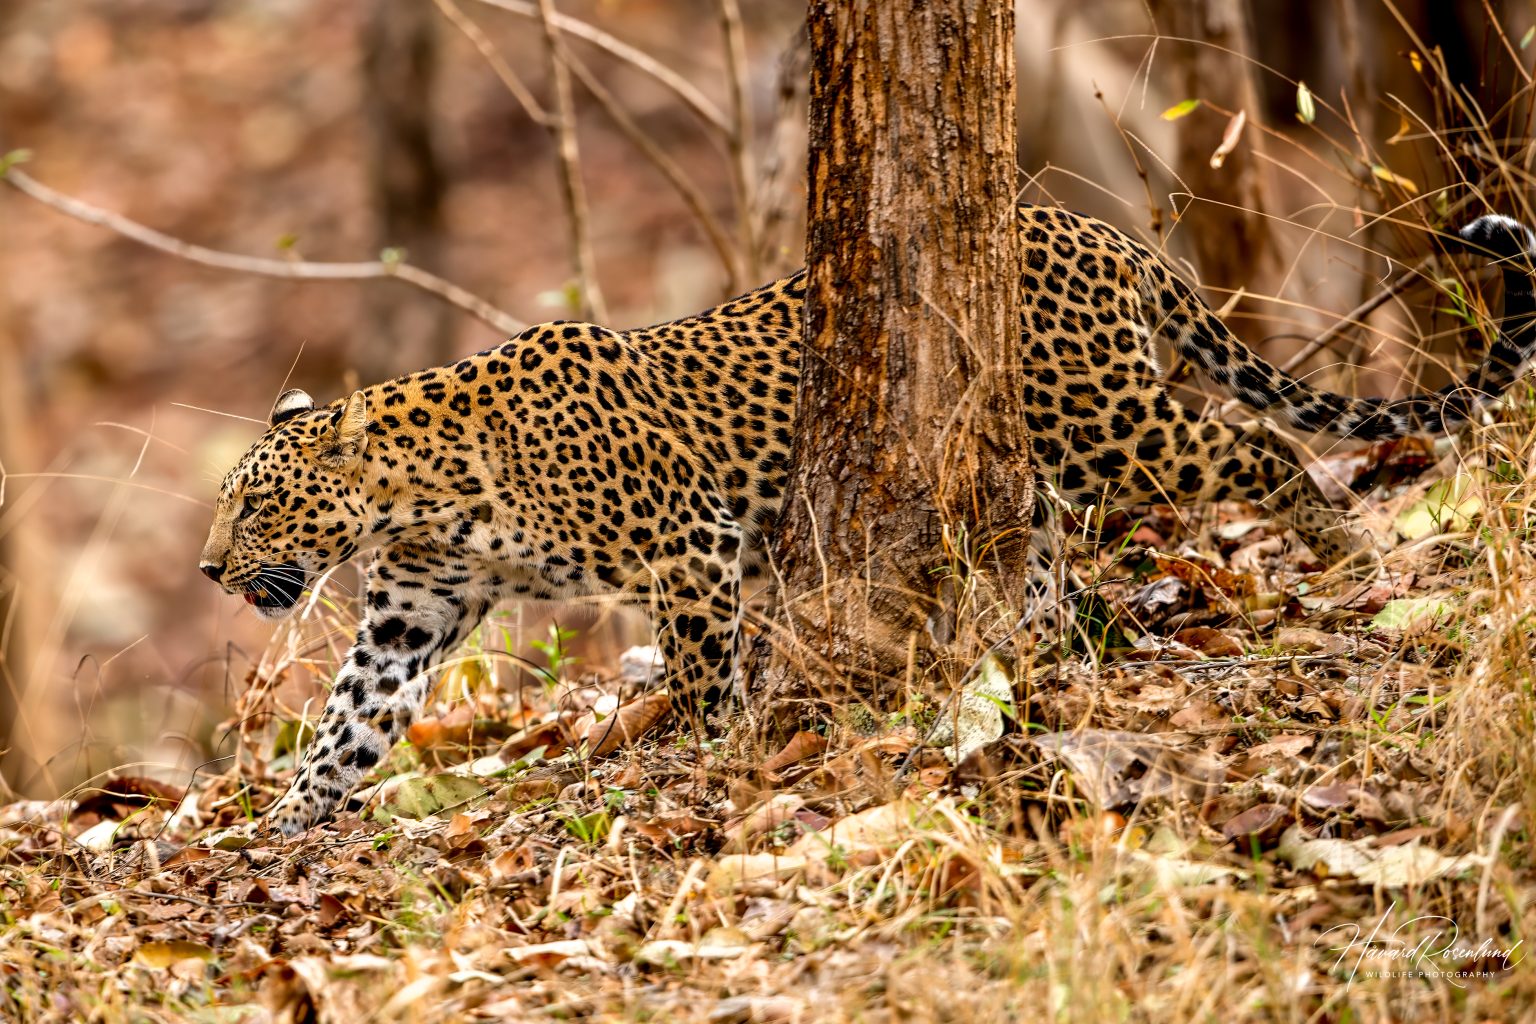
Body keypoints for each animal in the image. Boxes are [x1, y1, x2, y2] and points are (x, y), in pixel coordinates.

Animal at [199, 204, 1536, 837]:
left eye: (256, 503)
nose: (211, 571)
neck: (417, 500)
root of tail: (1105, 233)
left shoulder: (688, 543)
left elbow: (702, 669)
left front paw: (707, 758)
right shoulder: (411, 614)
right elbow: (347, 725)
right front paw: (282, 818)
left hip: (1109, 421)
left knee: (1259, 448)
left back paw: (1343, 550)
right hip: (1044, 457)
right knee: (1050, 550)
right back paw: (1040, 646)